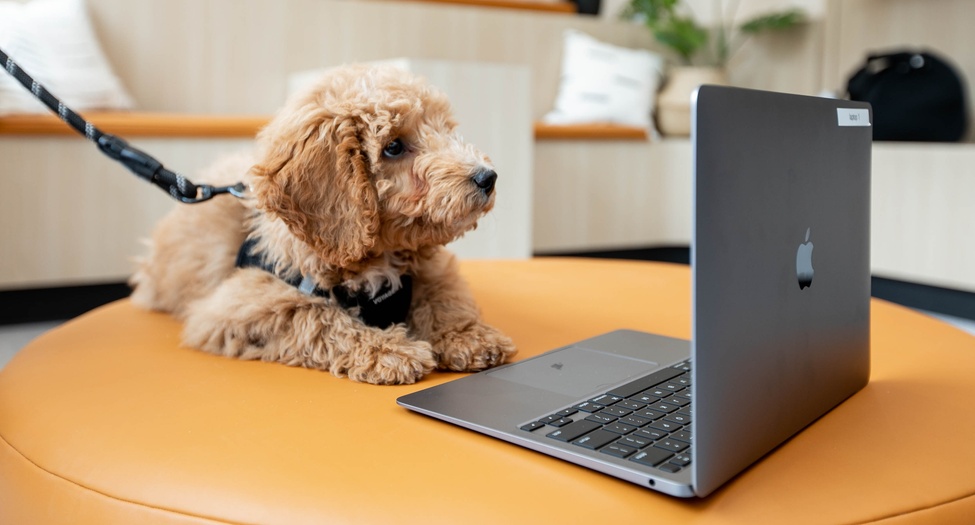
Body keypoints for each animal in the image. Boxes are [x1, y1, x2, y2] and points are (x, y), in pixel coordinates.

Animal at [133, 64, 524, 384]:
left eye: (445, 129)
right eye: (394, 147)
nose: (488, 177)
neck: (377, 254)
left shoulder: (433, 270)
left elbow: (443, 296)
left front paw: (469, 336)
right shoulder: (238, 306)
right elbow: (316, 315)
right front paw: (387, 350)